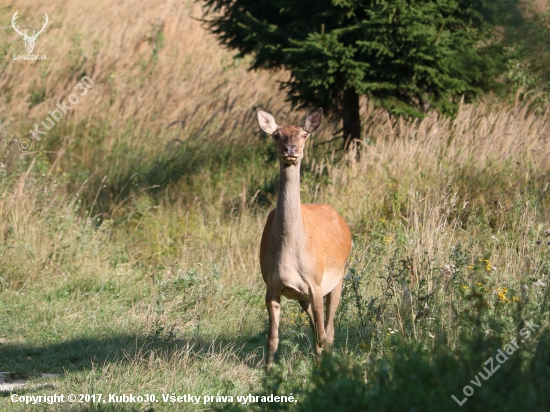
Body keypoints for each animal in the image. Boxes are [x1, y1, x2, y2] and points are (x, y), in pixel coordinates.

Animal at [258, 106, 354, 370]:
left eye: (304, 134)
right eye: (277, 135)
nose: (291, 150)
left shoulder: (315, 282)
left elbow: (323, 333)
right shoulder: (271, 286)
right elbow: (272, 341)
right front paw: (267, 374)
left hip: (338, 277)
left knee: (328, 330)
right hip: (303, 296)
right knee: (315, 328)